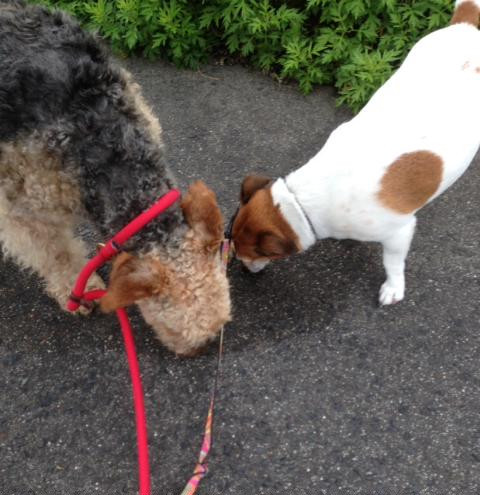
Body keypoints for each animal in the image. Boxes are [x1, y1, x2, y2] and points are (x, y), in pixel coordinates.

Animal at [232, 0, 480, 306]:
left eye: (256, 254)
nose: (243, 271)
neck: (304, 201)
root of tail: (465, 26)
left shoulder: (399, 233)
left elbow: (392, 263)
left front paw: (393, 288)